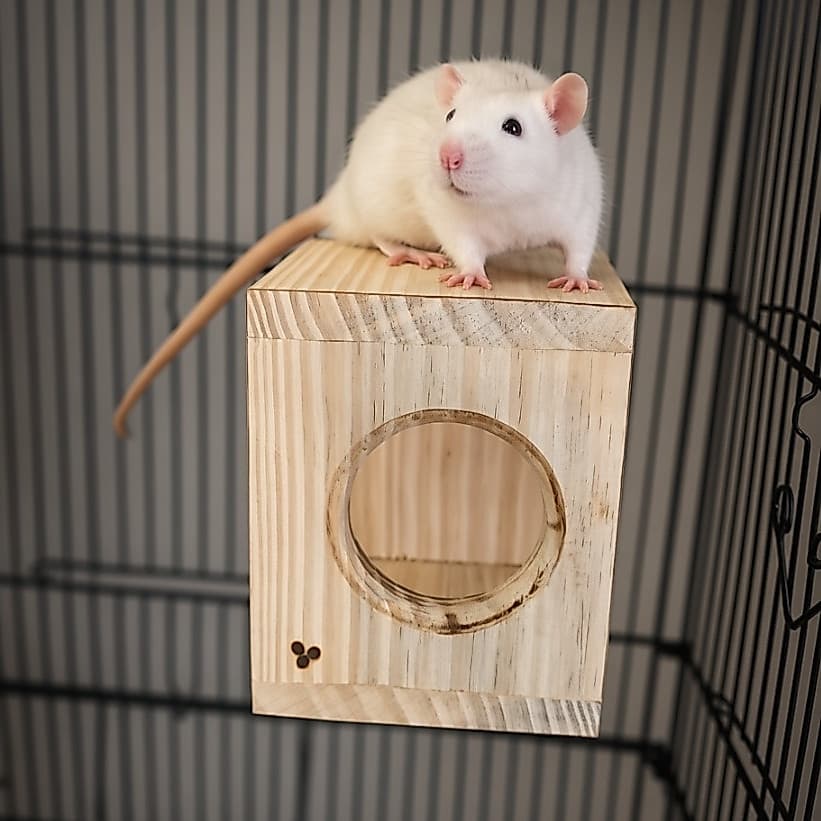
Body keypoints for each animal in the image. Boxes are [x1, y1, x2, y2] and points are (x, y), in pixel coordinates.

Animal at [114, 59, 603, 437]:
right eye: (450, 117)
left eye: (512, 127)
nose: (447, 156)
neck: (507, 204)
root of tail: (340, 195)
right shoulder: (449, 211)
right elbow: (462, 241)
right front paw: (470, 272)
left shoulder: (578, 197)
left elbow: (579, 242)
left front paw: (577, 278)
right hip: (375, 205)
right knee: (376, 234)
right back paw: (409, 251)